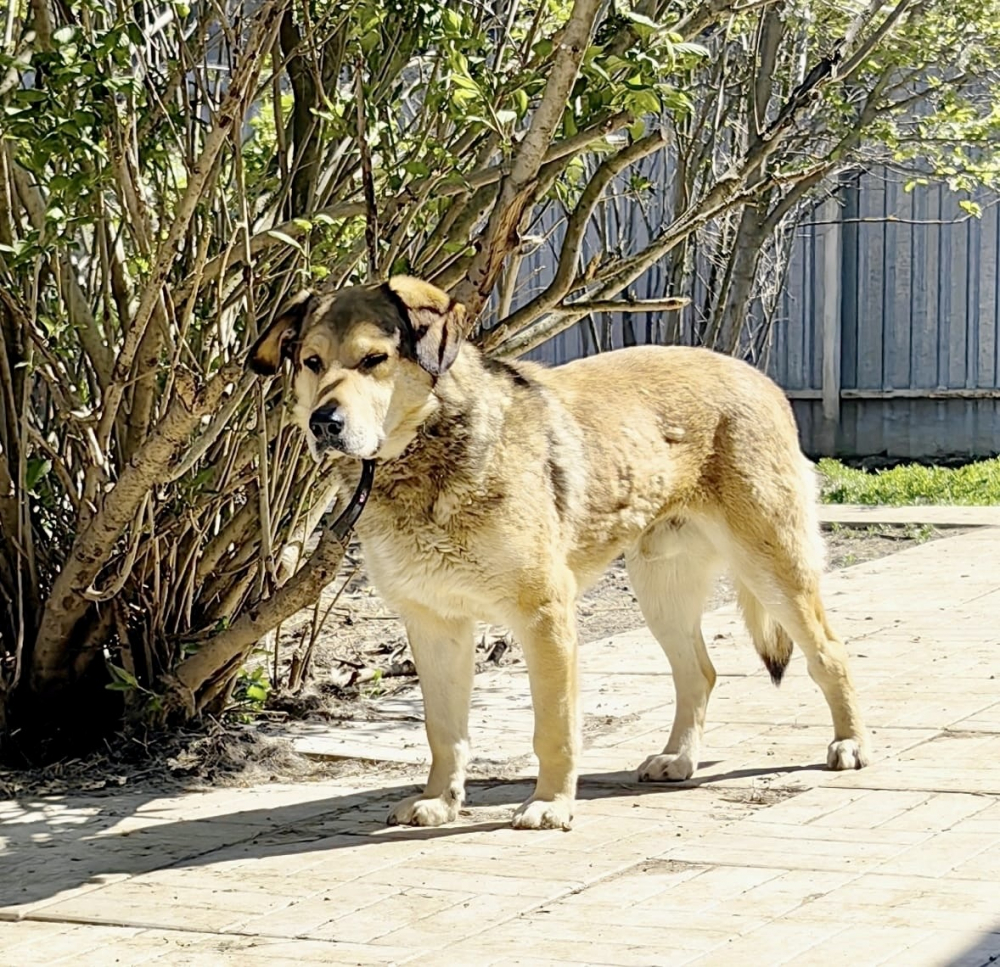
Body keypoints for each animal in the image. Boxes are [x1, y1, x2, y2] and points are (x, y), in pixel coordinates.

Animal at [248, 274, 868, 832]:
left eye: (374, 360)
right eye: (312, 362)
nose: (323, 423)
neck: (426, 451)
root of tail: (756, 375)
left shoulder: (543, 616)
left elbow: (554, 729)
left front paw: (550, 804)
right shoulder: (434, 624)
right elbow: (444, 732)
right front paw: (441, 802)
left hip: (773, 569)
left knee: (830, 653)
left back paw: (850, 744)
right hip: (661, 591)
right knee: (699, 673)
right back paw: (680, 759)